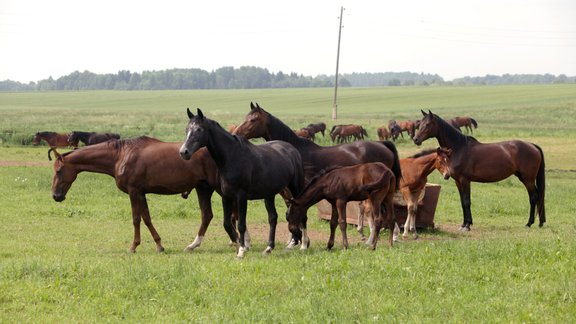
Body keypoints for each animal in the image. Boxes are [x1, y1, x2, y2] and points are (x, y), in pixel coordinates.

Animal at [50, 137, 240, 253]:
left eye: (58, 171)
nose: (55, 196)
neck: (121, 155)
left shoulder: (134, 192)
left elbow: (136, 219)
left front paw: (133, 246)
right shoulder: (141, 193)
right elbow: (146, 218)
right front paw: (159, 245)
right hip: (203, 188)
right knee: (207, 215)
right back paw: (195, 244)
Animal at [179, 109, 306, 258]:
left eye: (199, 129)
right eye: (187, 129)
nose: (184, 152)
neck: (233, 157)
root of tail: (292, 149)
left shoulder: (241, 197)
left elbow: (241, 225)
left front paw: (241, 250)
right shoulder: (226, 197)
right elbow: (227, 223)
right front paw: (240, 244)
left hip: (295, 189)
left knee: (302, 213)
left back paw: (304, 244)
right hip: (269, 194)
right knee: (273, 218)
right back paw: (270, 247)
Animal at [231, 102, 400, 247]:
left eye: (253, 119)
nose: (235, 133)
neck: (295, 152)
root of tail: (383, 144)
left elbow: (302, 215)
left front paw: (303, 242)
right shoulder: (289, 194)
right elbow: (291, 212)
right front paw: (293, 241)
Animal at [414, 110, 544, 230]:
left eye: (428, 124)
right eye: (420, 124)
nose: (415, 139)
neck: (459, 148)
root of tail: (532, 145)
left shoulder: (465, 180)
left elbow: (467, 201)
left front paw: (467, 226)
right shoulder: (457, 181)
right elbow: (462, 202)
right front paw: (464, 224)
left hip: (528, 179)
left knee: (533, 197)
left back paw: (529, 223)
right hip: (523, 177)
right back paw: (539, 222)